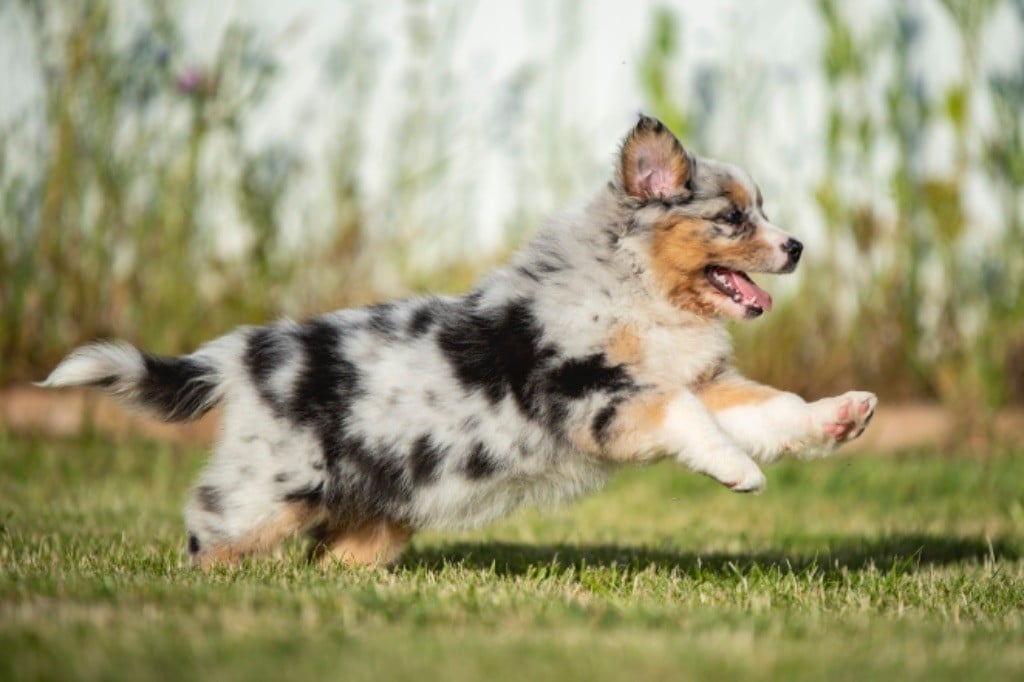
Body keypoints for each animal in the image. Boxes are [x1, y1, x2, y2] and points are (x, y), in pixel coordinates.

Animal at [39, 115, 877, 568]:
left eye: (762, 211)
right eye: (732, 219)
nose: (798, 247)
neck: (638, 290)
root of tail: (243, 354)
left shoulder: (699, 378)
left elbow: (772, 408)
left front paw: (842, 415)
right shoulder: (597, 394)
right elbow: (691, 420)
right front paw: (740, 473)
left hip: (372, 518)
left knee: (326, 559)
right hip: (262, 493)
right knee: (206, 534)